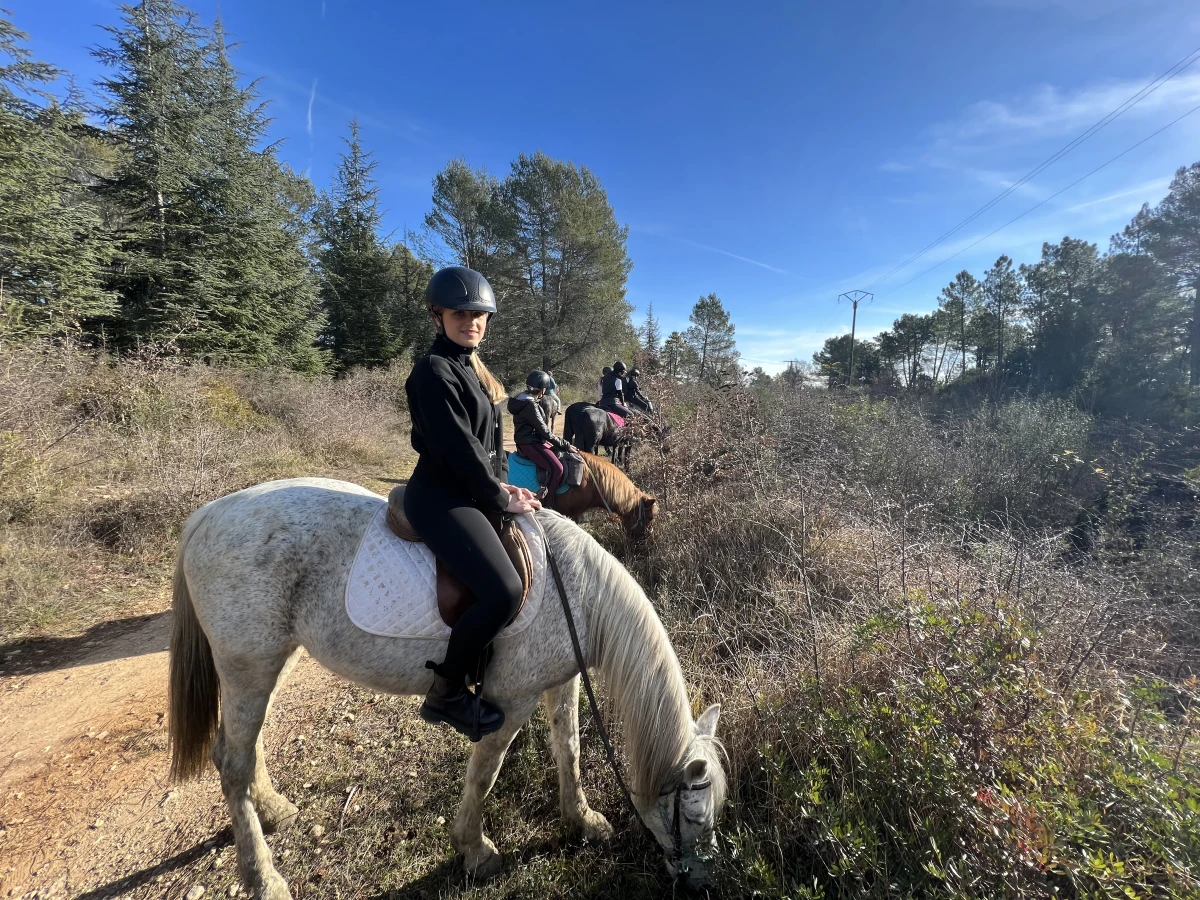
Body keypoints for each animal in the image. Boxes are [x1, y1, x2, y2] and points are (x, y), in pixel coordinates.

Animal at [168, 478, 725, 899]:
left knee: (245, 746)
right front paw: (474, 850)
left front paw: (583, 820)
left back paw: (274, 809)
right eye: (694, 816)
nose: (702, 884)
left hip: (271, 662)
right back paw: (263, 879)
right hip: (247, 664)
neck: (580, 593)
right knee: (232, 763)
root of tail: (208, 515)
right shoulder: (511, 699)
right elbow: (486, 772)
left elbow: (568, 747)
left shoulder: (560, 681)